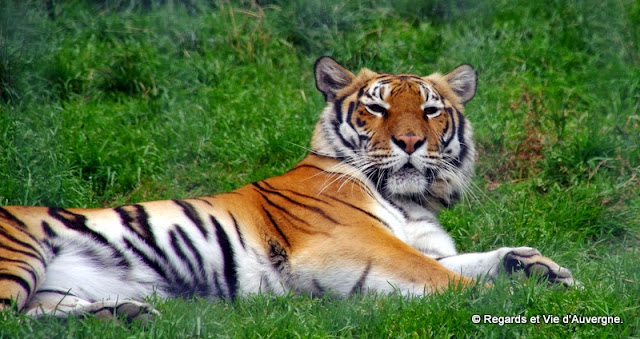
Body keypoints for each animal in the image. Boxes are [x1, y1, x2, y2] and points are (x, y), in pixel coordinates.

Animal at [0, 56, 576, 322]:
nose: (411, 141)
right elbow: (447, 279)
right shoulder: (355, 244)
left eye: (431, 110)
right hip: (19, 254)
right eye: (377, 107)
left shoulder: (414, 243)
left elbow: (468, 260)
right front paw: (508, 299)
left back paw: (122, 313)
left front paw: (540, 269)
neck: (410, 200)